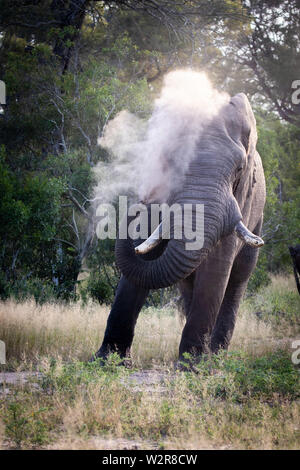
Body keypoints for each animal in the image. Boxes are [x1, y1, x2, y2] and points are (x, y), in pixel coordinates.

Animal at [92, 92, 266, 364]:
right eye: (169, 161)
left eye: (239, 169)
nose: (137, 204)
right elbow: (143, 255)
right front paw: (107, 361)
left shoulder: (241, 198)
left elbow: (217, 263)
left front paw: (192, 366)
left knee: (238, 278)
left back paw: (216, 357)